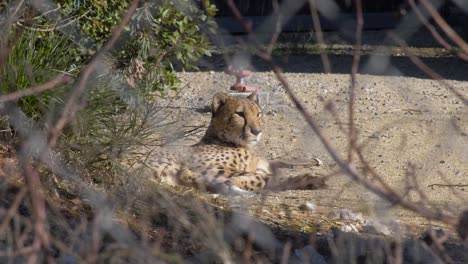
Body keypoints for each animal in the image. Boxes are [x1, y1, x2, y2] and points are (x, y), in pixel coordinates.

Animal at [145, 92, 322, 194]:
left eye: (258, 114)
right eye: (240, 114)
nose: (257, 131)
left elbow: (276, 166)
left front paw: (311, 168)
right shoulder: (195, 168)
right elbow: (261, 177)